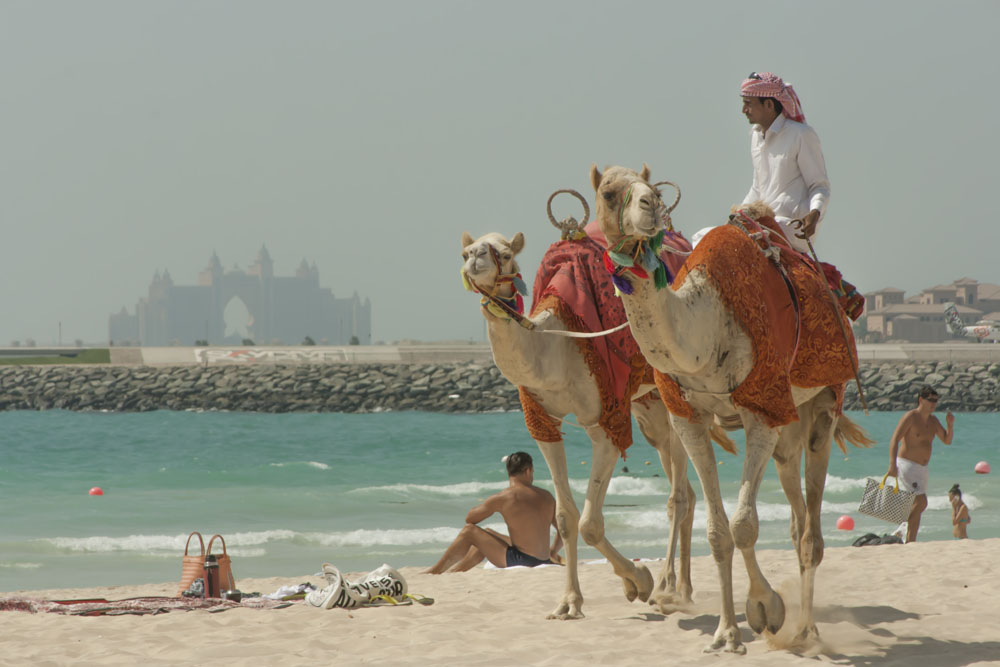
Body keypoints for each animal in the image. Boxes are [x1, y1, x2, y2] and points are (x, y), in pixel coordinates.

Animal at [588, 164, 872, 656]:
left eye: (653, 187)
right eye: (608, 192)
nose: (650, 206)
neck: (706, 328)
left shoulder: (762, 407)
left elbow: (744, 525)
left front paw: (764, 607)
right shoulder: (688, 417)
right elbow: (718, 532)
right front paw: (726, 633)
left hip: (824, 402)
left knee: (811, 534)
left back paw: (807, 633)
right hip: (790, 424)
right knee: (797, 517)